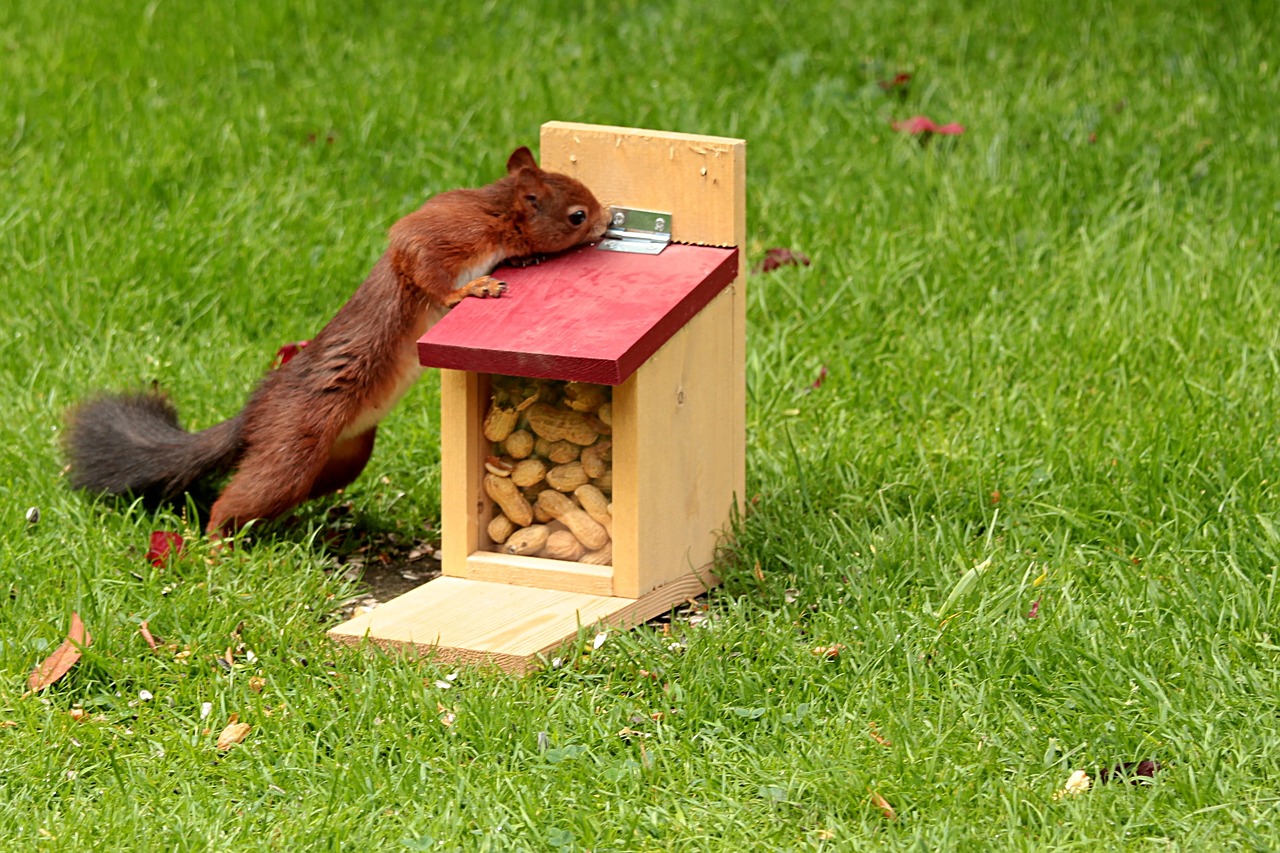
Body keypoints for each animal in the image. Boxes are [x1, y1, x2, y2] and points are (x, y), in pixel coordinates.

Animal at [66, 146, 609, 532]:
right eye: (577, 215)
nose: (606, 221)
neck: (497, 212)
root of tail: (254, 412)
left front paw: (526, 259)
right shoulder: (441, 231)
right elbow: (421, 265)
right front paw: (471, 289)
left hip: (341, 460)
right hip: (293, 443)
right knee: (235, 498)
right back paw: (217, 546)